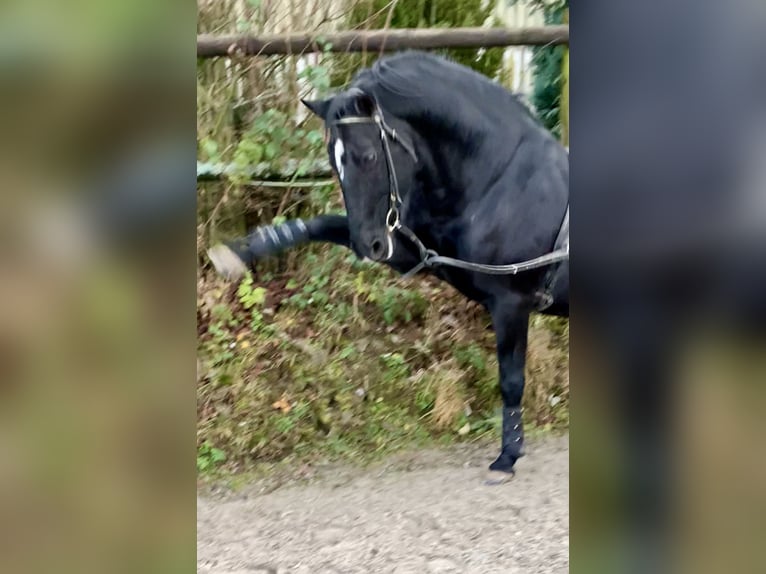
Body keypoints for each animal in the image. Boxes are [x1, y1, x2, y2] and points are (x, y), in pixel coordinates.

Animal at [210, 51, 568, 482]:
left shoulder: (511, 302)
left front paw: (507, 457)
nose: (370, 245)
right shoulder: (420, 256)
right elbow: (323, 225)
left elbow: (511, 380)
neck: (501, 183)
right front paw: (240, 251)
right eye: (334, 162)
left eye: (367, 156)